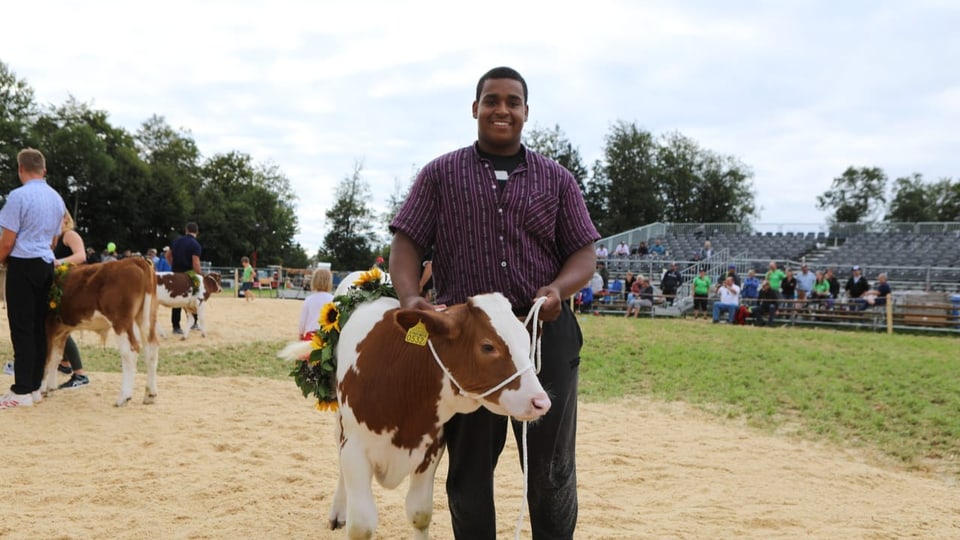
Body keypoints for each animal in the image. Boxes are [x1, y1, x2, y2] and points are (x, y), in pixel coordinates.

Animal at [41, 258, 160, 404]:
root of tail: (134, 260)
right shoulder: (62, 331)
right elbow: (55, 358)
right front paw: (50, 389)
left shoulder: (46, 329)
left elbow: (45, 360)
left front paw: (40, 391)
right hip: (146, 316)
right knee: (151, 349)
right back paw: (150, 395)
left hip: (121, 321)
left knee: (130, 351)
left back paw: (124, 397)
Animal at [280, 294, 548, 536]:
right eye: (488, 346)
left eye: (527, 341)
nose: (541, 402)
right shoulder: (354, 450)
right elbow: (362, 526)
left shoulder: (431, 449)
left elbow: (420, 515)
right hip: (340, 420)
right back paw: (338, 510)